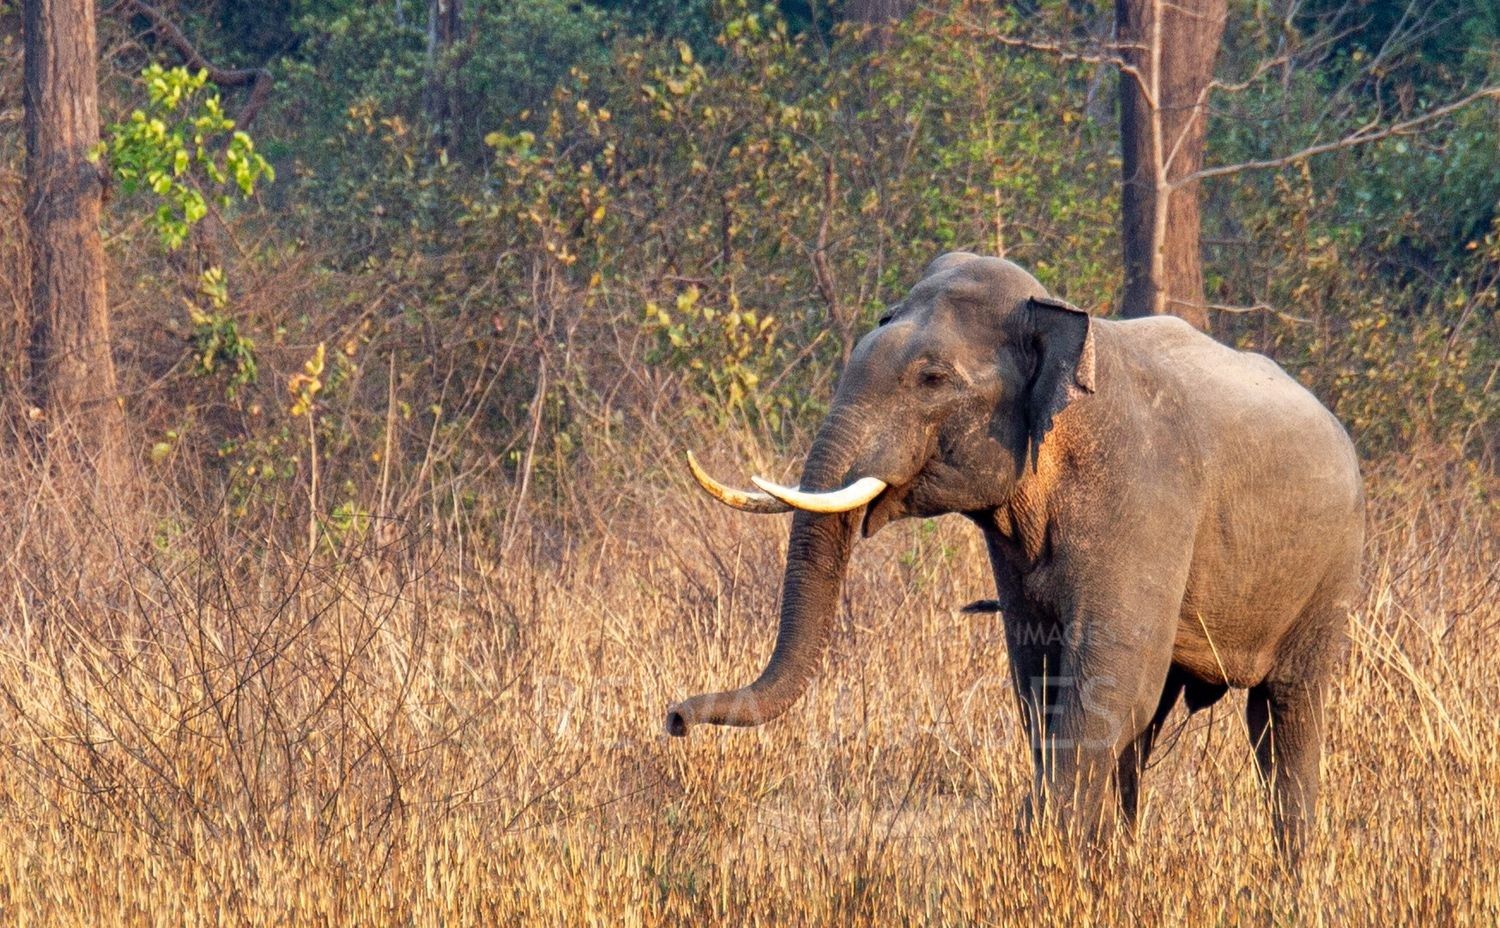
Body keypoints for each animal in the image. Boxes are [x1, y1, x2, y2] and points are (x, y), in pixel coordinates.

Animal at [665, 253, 1364, 862]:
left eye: (932, 379)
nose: (674, 719)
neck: (1059, 322)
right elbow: (1044, 682)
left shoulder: (1147, 498)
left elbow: (1107, 686)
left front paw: (1043, 856)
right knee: (1155, 720)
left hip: (1331, 572)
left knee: (1282, 714)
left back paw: (1293, 876)